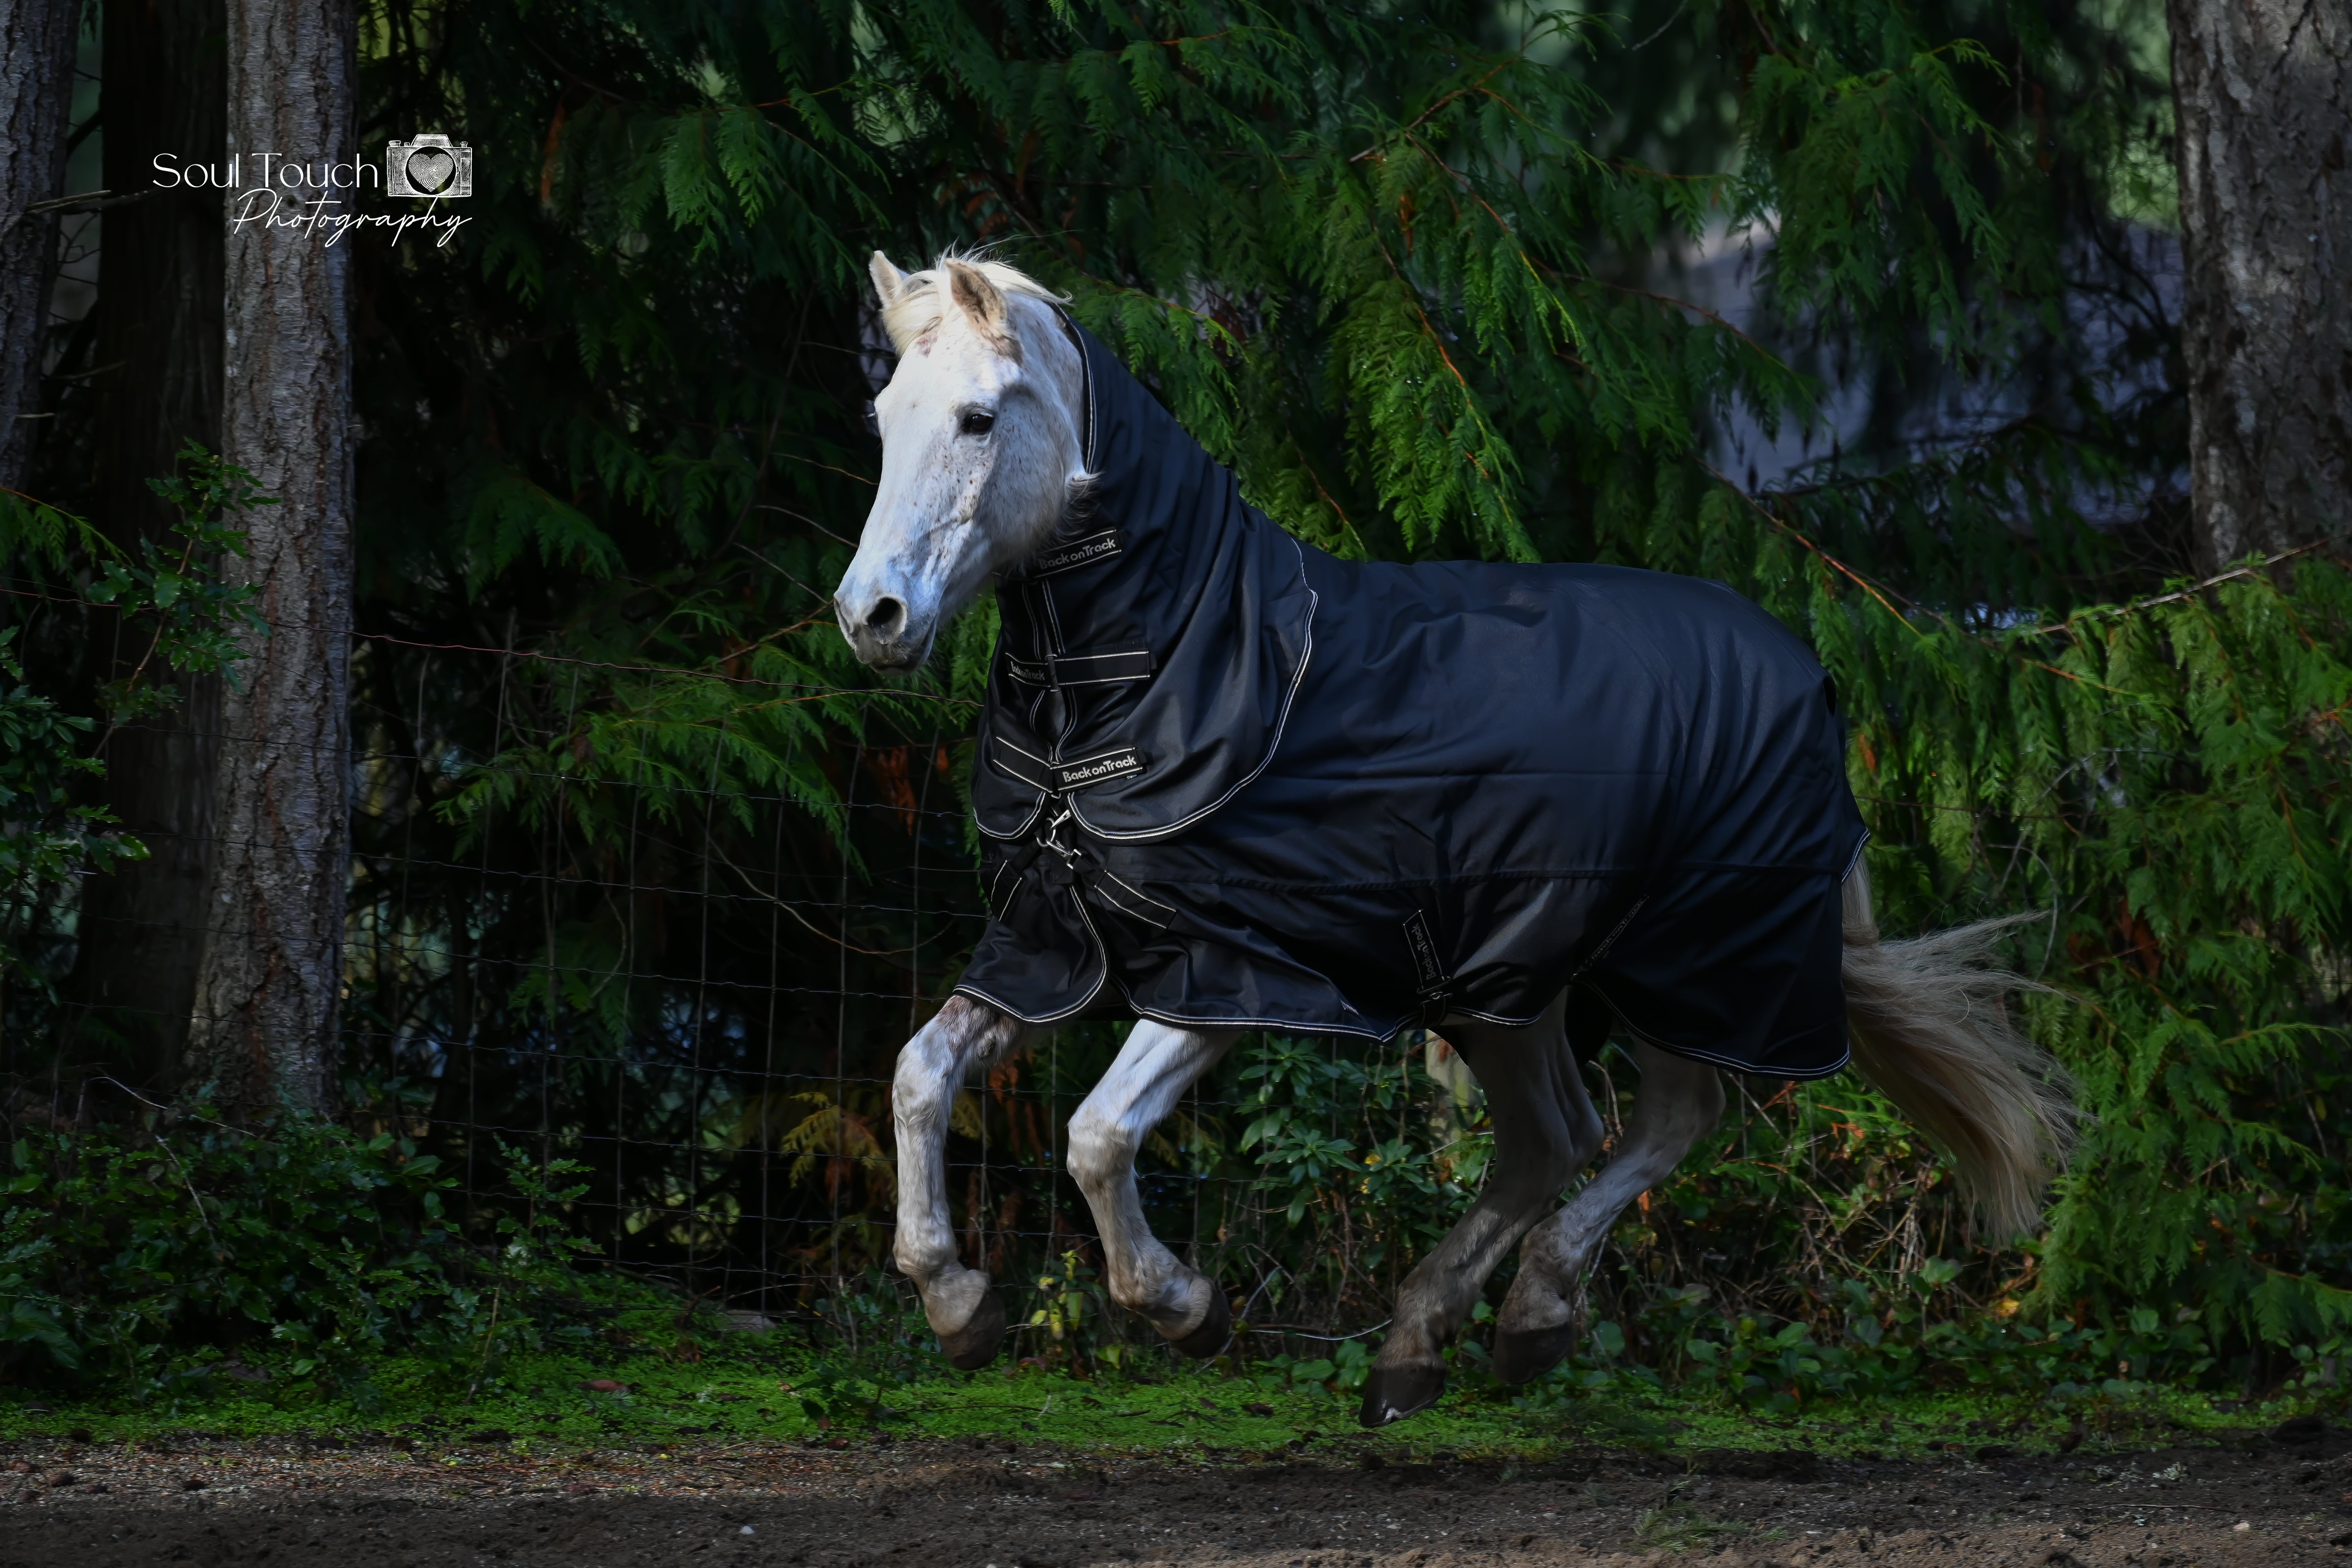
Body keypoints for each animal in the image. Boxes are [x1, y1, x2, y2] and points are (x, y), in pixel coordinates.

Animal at [832, 251, 2074, 1428]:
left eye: (980, 418)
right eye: (884, 414)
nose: (871, 617)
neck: (1180, 665)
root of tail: (1802, 668)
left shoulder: (1233, 976)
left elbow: (1095, 1136)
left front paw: (1183, 1308)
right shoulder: (1053, 954)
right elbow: (917, 1076)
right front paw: (956, 1305)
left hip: (1683, 966)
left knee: (1672, 1118)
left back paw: (1527, 1318)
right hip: (1508, 987)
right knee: (1552, 1139)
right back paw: (1421, 1347)